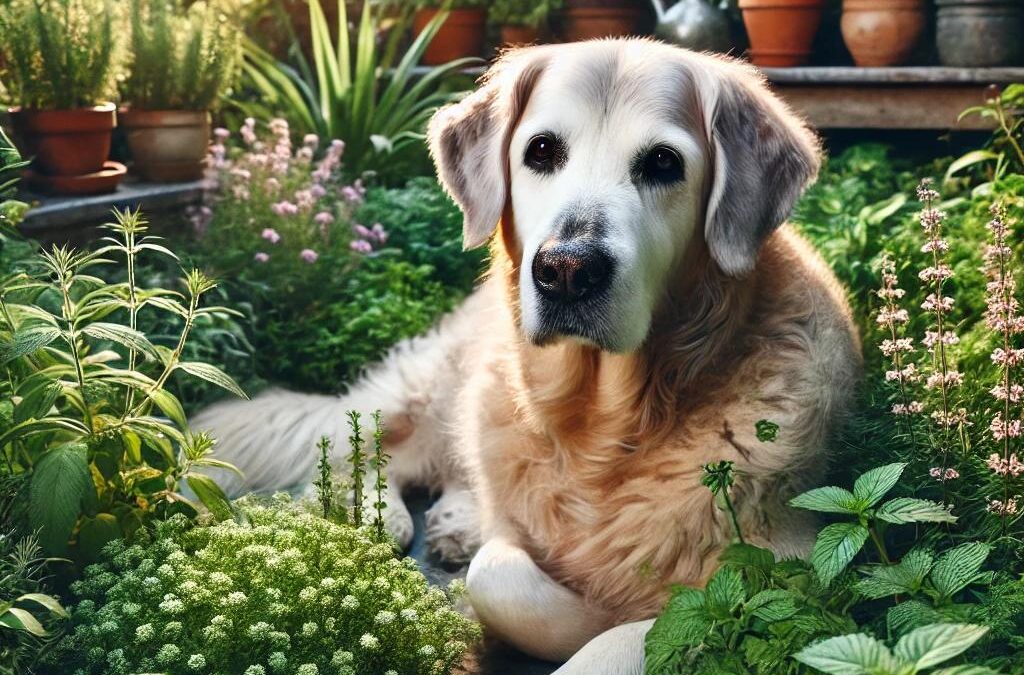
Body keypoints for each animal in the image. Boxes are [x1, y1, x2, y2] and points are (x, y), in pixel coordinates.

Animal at [193, 38, 864, 675]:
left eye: (664, 163)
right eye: (541, 151)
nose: (566, 270)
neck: (605, 428)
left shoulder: (799, 576)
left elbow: (660, 624)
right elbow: (500, 579)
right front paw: (592, 607)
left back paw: (453, 522)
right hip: (438, 386)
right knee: (372, 448)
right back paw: (374, 515)